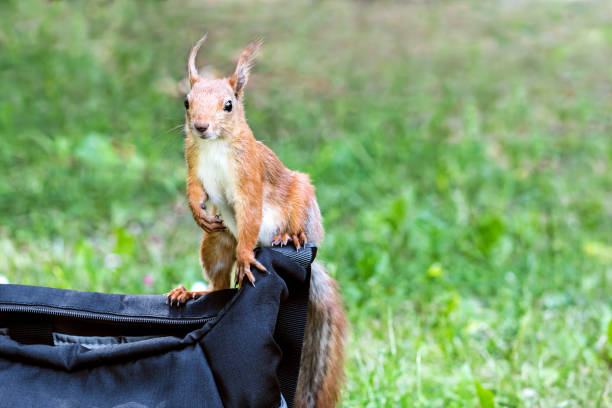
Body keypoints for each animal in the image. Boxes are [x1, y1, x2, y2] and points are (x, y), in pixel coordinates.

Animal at [166, 35, 350, 408]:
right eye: (186, 102)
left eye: (228, 105)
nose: (200, 127)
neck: (214, 147)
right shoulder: (193, 164)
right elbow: (194, 190)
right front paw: (198, 212)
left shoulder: (249, 177)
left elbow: (250, 211)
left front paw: (246, 260)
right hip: (218, 242)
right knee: (219, 286)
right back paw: (191, 293)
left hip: (302, 201)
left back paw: (288, 239)